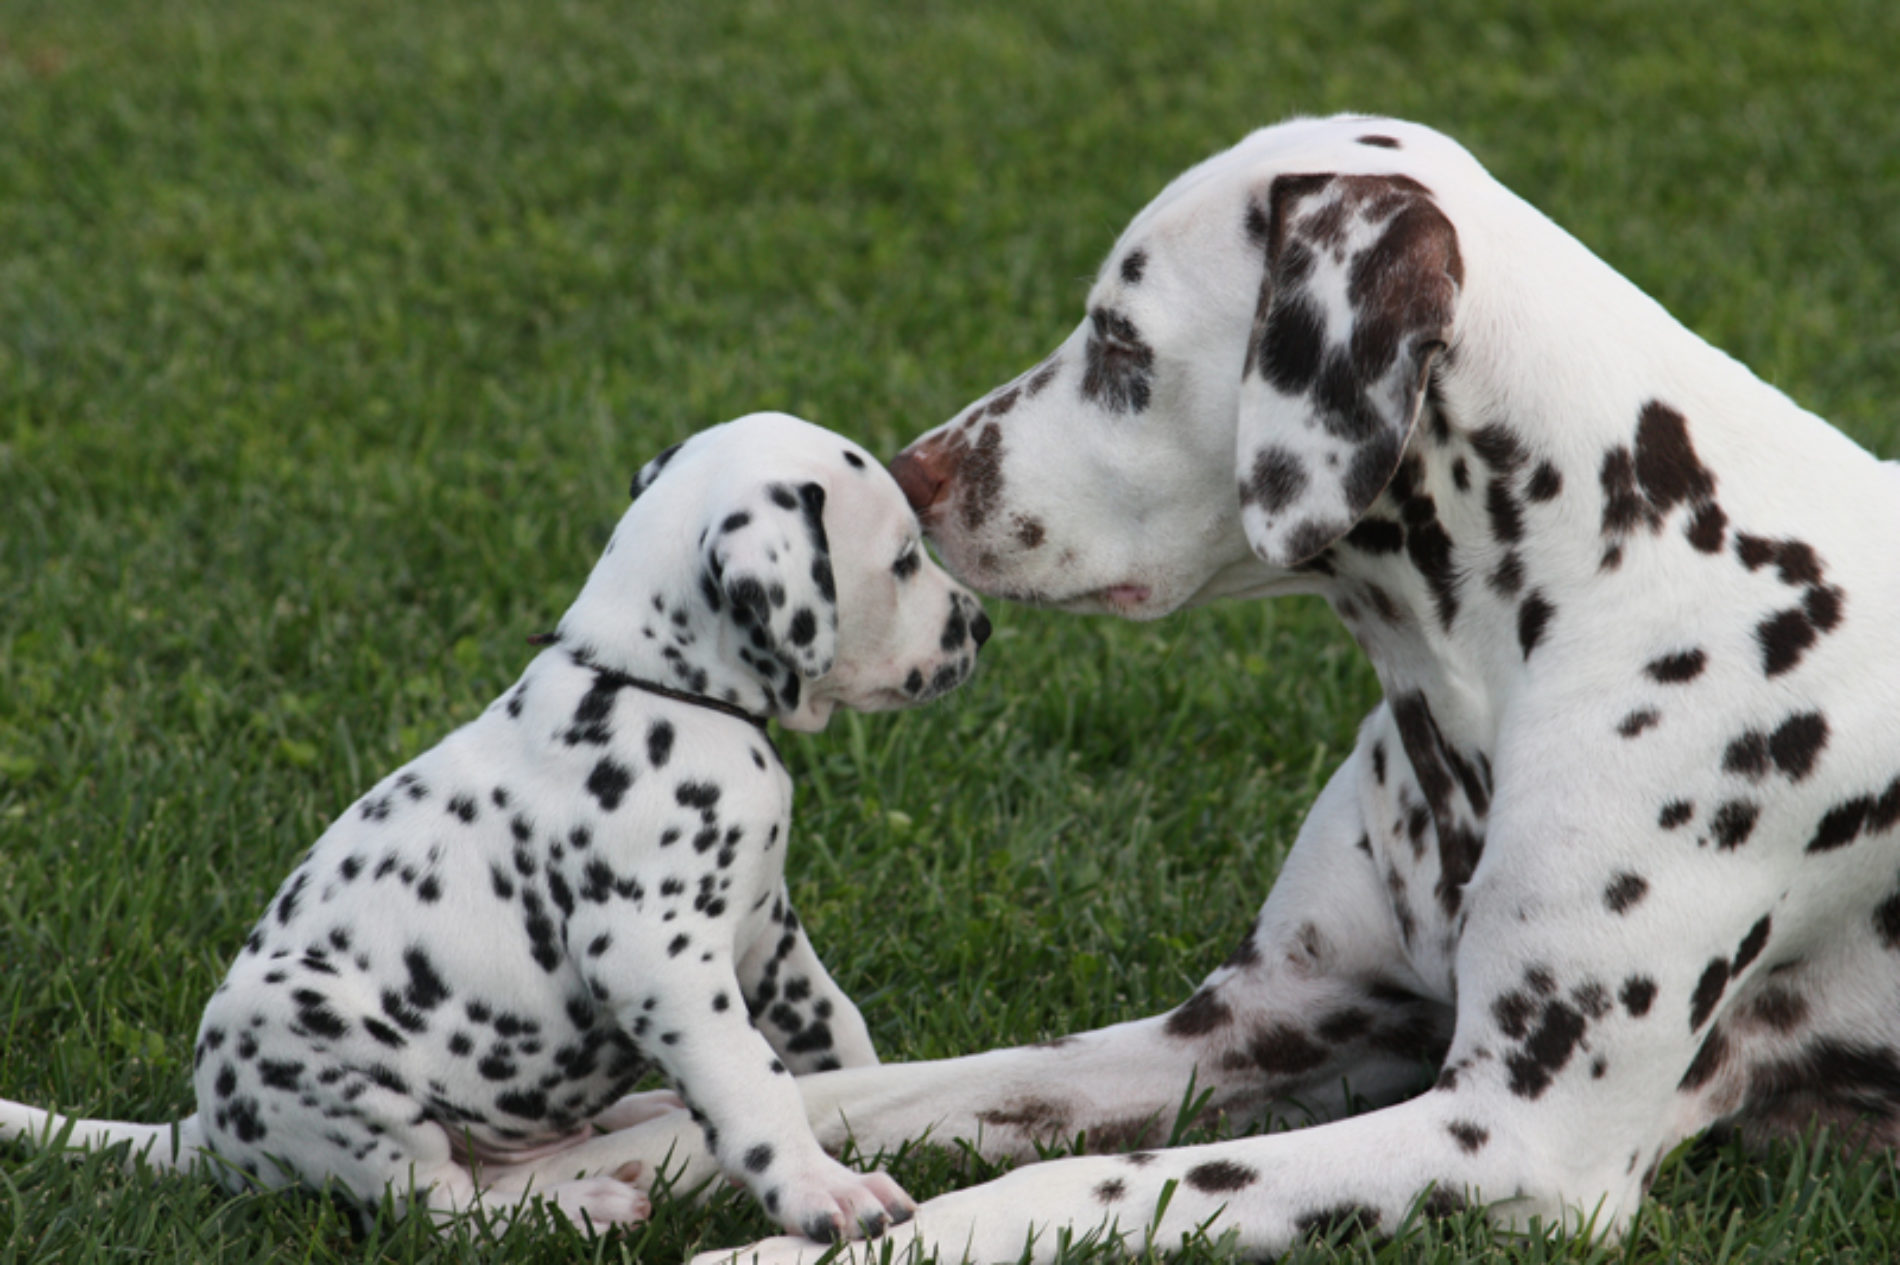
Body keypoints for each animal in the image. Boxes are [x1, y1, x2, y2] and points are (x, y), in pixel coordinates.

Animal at [3, 408, 995, 1238]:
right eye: (903, 560)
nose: (980, 625)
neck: (649, 686)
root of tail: (208, 1133)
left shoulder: (766, 934)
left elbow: (832, 1032)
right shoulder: (662, 956)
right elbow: (755, 1081)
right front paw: (821, 1186)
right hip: (310, 1047)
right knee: (444, 1209)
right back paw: (584, 1205)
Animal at [695, 113, 1900, 1253]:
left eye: (1119, 341)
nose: (912, 476)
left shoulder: (1514, 1138)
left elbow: (1074, 1182)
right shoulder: (1247, 1022)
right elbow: (876, 1090)